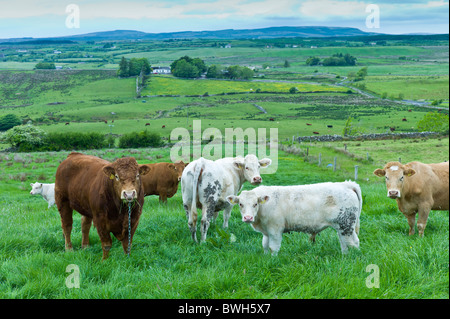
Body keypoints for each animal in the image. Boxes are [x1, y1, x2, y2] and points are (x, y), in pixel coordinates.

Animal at [227, 181, 360, 256]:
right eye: (240, 204)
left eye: (255, 204)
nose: (248, 217)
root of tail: (345, 184)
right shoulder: (266, 232)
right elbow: (265, 245)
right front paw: (265, 257)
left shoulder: (275, 229)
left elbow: (273, 247)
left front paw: (273, 259)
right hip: (343, 227)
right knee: (346, 243)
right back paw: (344, 256)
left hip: (345, 225)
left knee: (352, 243)